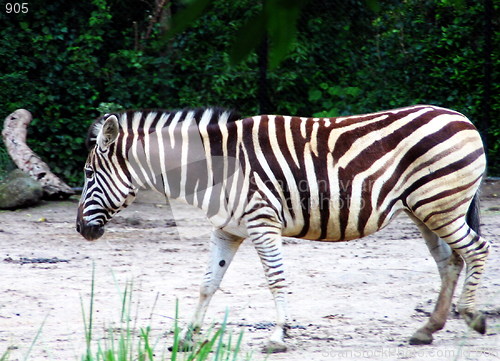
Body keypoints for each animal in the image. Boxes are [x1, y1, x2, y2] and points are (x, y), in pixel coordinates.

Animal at [76, 104, 490, 352]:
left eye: (89, 173)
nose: (80, 229)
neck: (216, 169)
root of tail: (463, 118)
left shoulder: (263, 223)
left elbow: (275, 280)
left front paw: (278, 336)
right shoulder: (228, 230)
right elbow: (208, 283)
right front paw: (188, 339)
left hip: (440, 204)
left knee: (477, 250)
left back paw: (472, 317)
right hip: (425, 211)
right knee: (450, 262)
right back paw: (428, 328)